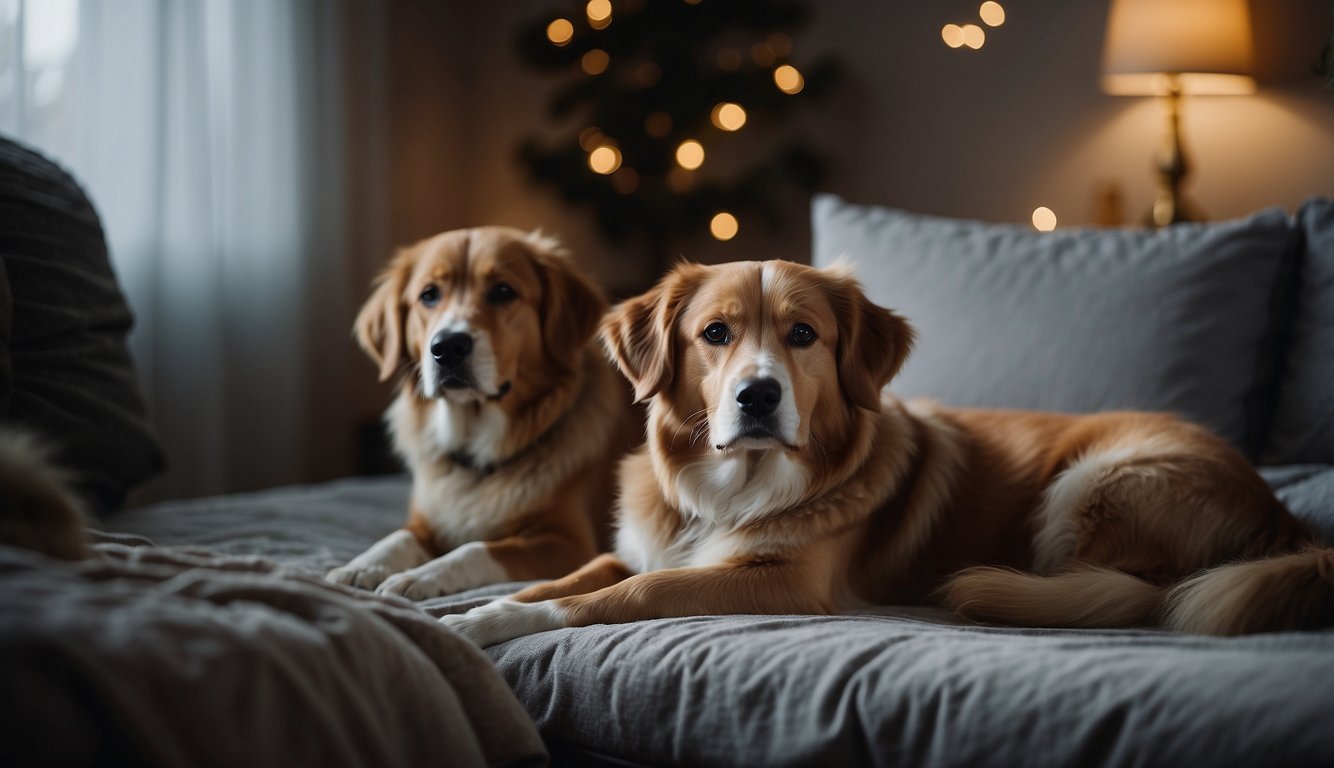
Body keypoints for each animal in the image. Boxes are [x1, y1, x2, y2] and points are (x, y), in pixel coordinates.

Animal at [324, 228, 634, 600]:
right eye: (429, 295)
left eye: (503, 291)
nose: (447, 347)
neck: (476, 449)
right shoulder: (426, 523)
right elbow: (397, 538)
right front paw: (361, 566)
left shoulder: (568, 543)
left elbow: (475, 549)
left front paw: (420, 576)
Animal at [442, 258, 1328, 642]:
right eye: (715, 335)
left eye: (803, 336)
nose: (757, 396)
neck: (732, 487)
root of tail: (1281, 511)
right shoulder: (644, 545)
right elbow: (577, 572)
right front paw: (454, 605)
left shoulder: (783, 582)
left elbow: (619, 594)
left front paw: (491, 621)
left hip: (1099, 478)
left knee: (1137, 592)